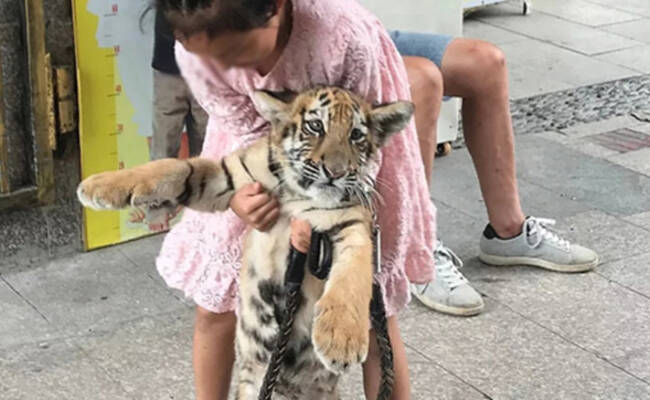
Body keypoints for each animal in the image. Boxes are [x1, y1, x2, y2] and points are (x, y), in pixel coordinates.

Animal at [77, 86, 414, 399]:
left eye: (356, 135)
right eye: (316, 126)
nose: (336, 172)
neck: (296, 191)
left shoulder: (353, 223)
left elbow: (352, 275)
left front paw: (341, 341)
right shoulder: (226, 175)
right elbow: (172, 166)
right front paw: (96, 186)